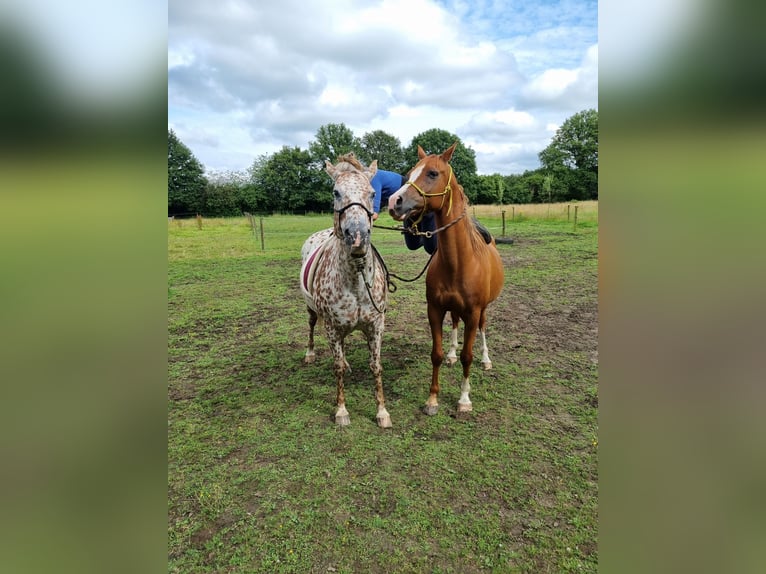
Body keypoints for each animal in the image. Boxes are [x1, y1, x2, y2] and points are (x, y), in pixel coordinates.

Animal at [388, 142, 508, 416]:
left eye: (432, 173)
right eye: (409, 173)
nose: (394, 201)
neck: (459, 263)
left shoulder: (473, 313)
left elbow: (468, 356)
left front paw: (464, 399)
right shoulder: (435, 309)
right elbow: (437, 354)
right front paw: (432, 399)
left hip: (483, 310)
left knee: (483, 329)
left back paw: (486, 360)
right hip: (453, 309)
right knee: (454, 324)